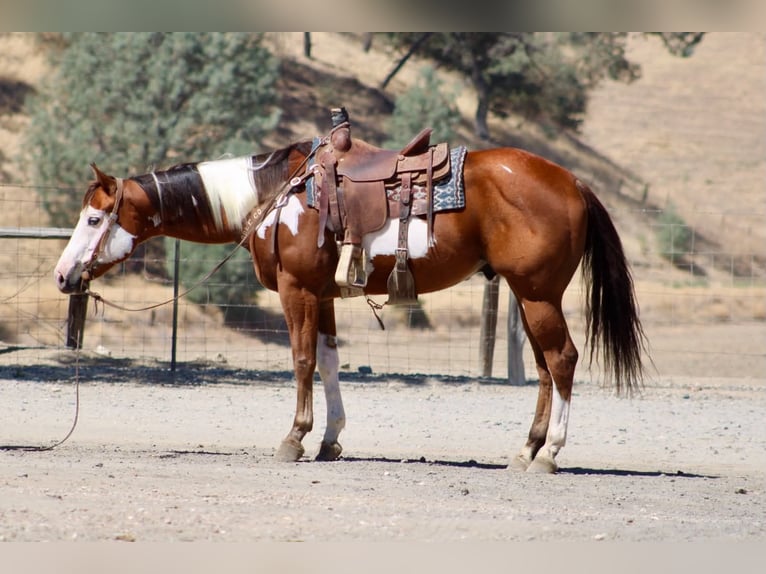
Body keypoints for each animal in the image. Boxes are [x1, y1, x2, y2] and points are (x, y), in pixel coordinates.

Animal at [54, 136, 646, 473]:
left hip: (538, 293)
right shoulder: (322, 294)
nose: (63, 276)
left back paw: (549, 454)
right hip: (527, 297)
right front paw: (330, 439)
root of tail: (573, 181)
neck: (278, 197)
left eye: (93, 218)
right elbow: (330, 361)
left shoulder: (296, 289)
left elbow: (301, 360)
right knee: (546, 369)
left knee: (563, 361)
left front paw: (294, 438)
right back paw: (526, 450)